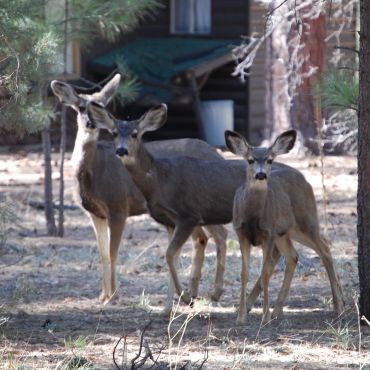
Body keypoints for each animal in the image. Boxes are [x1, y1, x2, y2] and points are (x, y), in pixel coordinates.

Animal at [49, 74, 228, 306]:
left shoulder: (118, 205)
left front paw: (113, 296)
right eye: (80, 107)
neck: (93, 174)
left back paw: (214, 292)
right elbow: (102, 254)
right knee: (202, 238)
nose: (90, 123)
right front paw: (102, 295)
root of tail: (217, 154)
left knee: (221, 234)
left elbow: (113, 252)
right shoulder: (94, 213)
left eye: (103, 105)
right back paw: (192, 292)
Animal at [224, 130, 346, 324]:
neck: (252, 215)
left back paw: (339, 305)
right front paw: (241, 316)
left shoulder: (268, 233)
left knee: (325, 250)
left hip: (306, 220)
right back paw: (278, 310)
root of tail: (305, 180)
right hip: (286, 232)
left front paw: (264, 316)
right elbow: (244, 273)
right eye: (250, 160)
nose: (261, 175)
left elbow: (266, 272)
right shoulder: (240, 232)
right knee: (293, 255)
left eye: (269, 160)